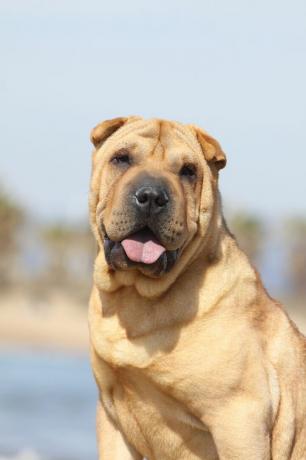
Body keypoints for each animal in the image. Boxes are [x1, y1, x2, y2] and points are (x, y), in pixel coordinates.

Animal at [88, 117, 306, 460]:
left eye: (188, 171)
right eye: (122, 159)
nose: (151, 196)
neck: (138, 297)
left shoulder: (239, 421)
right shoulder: (112, 421)